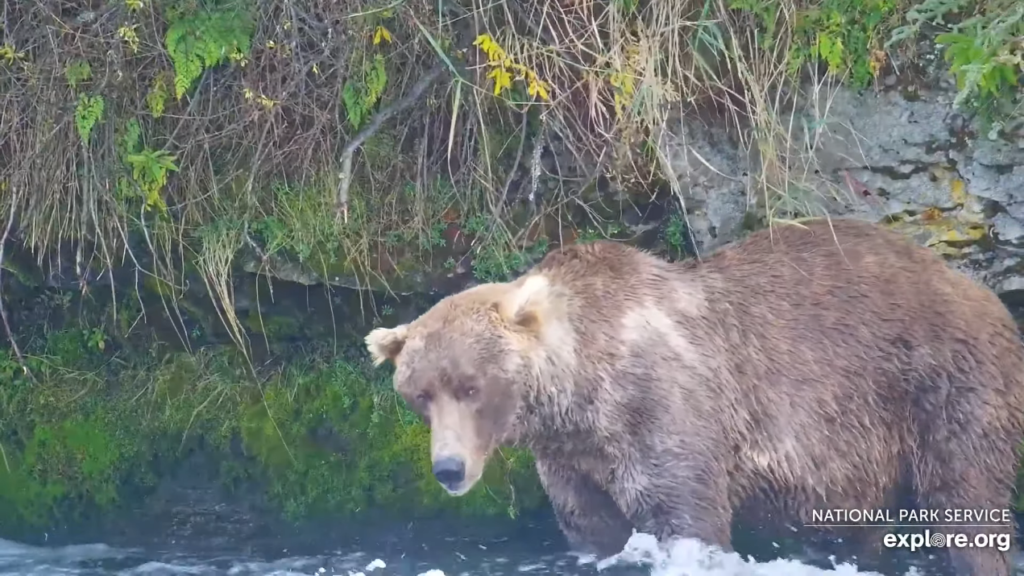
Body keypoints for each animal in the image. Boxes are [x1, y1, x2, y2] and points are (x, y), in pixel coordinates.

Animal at [366, 216, 1024, 573]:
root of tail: (974, 285)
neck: (582, 395)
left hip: (943, 382)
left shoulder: (665, 412)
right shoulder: (571, 459)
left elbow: (686, 517)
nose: (449, 468)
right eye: (420, 394)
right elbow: (592, 528)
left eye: (470, 385)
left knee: (965, 494)